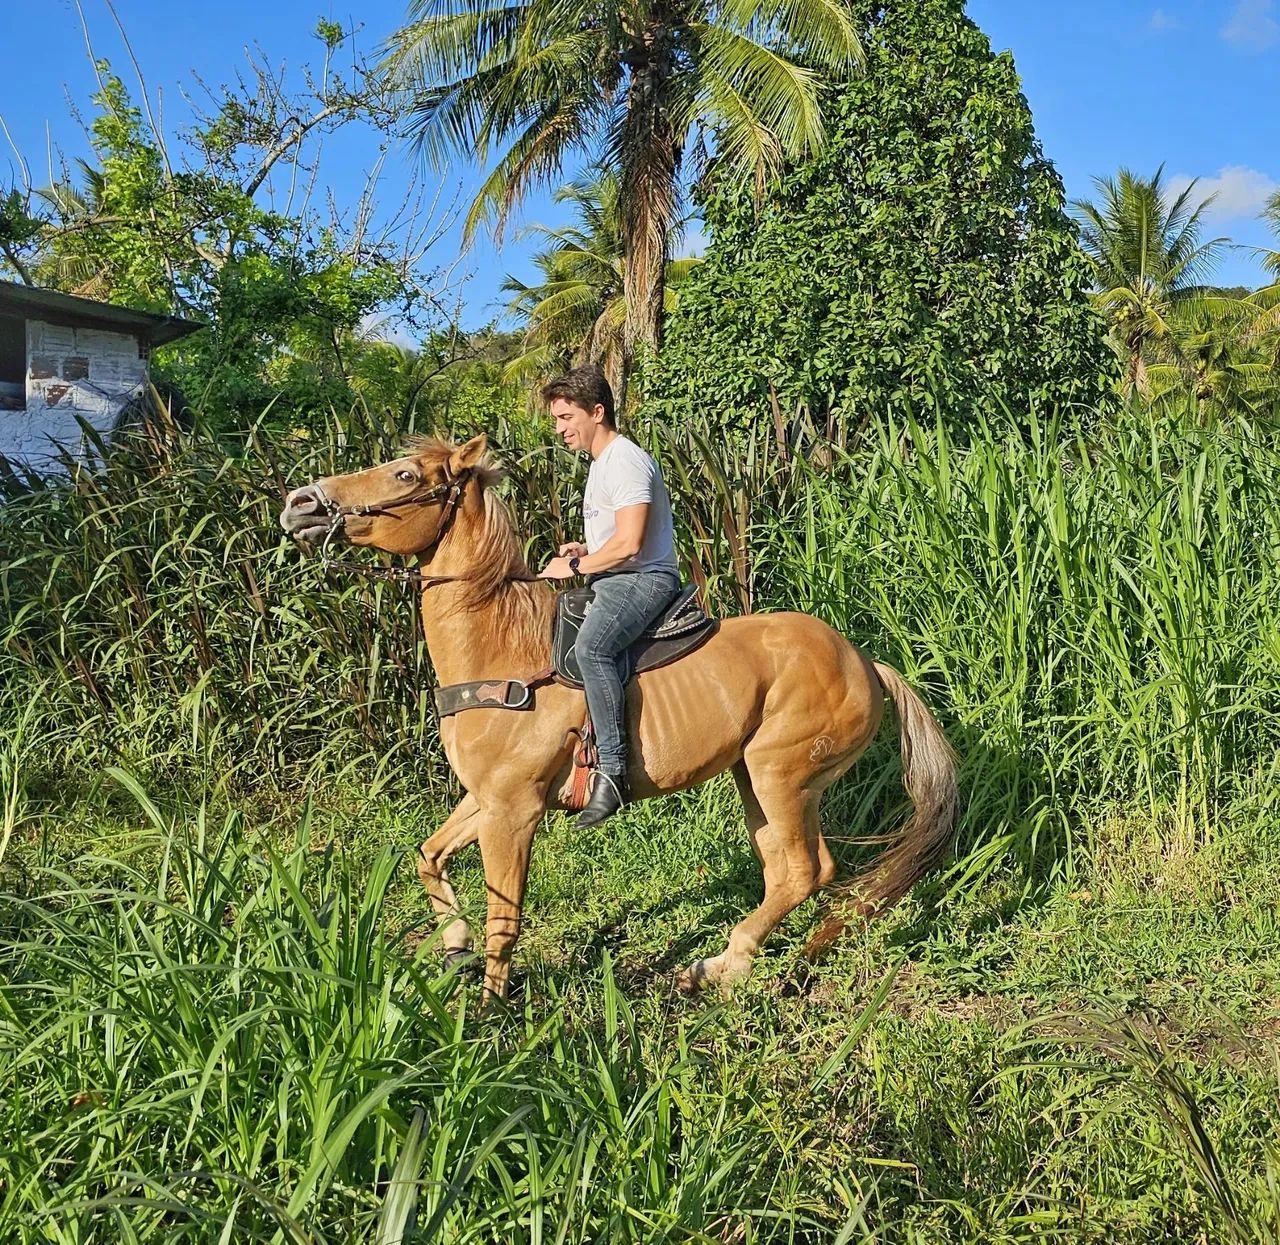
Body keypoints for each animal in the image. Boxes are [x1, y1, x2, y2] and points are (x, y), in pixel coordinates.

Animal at [279, 433, 959, 1001]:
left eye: (404, 474)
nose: (298, 504)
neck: (502, 653)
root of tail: (864, 662)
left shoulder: (515, 812)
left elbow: (505, 918)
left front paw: (490, 1015)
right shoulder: (488, 800)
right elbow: (429, 856)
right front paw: (454, 945)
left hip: (780, 775)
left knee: (805, 870)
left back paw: (726, 963)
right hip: (759, 781)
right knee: (784, 870)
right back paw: (720, 965)